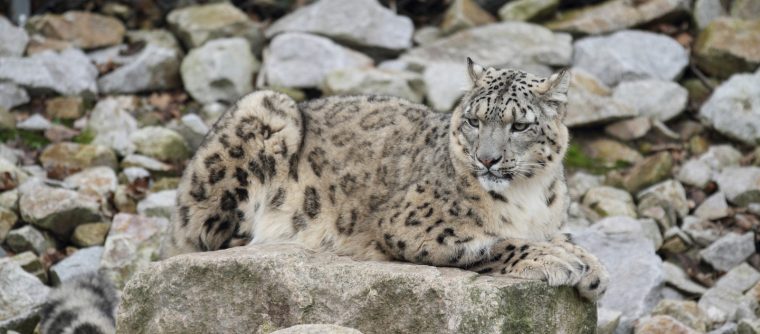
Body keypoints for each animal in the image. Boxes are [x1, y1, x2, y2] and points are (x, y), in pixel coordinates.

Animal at [163, 58, 608, 302]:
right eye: (473, 120)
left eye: (520, 125)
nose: (487, 159)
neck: (527, 194)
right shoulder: (415, 222)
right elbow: (493, 242)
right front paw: (556, 260)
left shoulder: (552, 221)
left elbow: (569, 239)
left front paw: (593, 269)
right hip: (262, 112)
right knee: (210, 240)